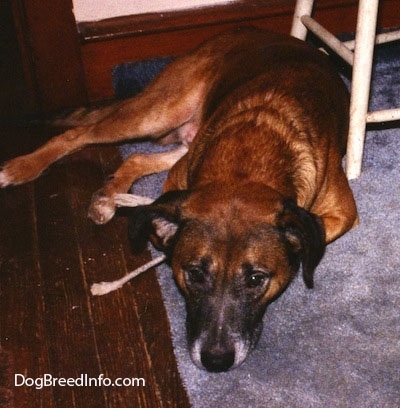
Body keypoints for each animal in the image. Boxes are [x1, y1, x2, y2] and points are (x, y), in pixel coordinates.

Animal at [0, 27, 356, 372]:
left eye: (256, 279)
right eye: (194, 274)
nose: (215, 361)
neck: (248, 163)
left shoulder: (342, 214)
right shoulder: (178, 182)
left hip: (180, 139)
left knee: (136, 158)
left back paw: (106, 197)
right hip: (156, 114)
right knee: (78, 134)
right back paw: (21, 168)